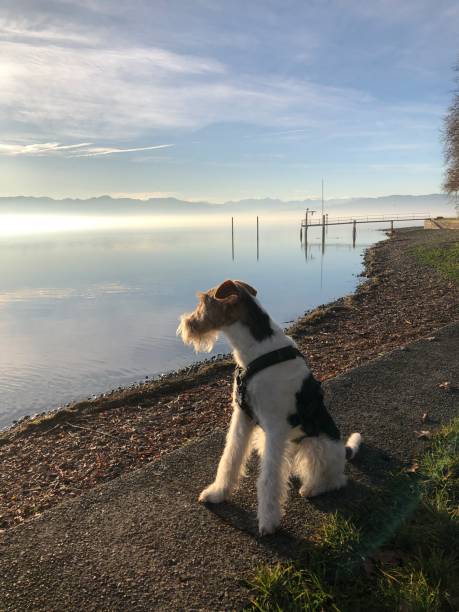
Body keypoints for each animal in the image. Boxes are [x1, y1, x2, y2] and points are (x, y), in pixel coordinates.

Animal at [178, 280, 362, 532]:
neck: (257, 351)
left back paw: (312, 488)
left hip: (315, 446)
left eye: (203, 301)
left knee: (335, 479)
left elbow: (268, 479)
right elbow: (230, 458)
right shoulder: (242, 418)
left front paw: (267, 521)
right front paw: (217, 493)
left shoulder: (275, 428)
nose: (185, 324)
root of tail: (344, 451)